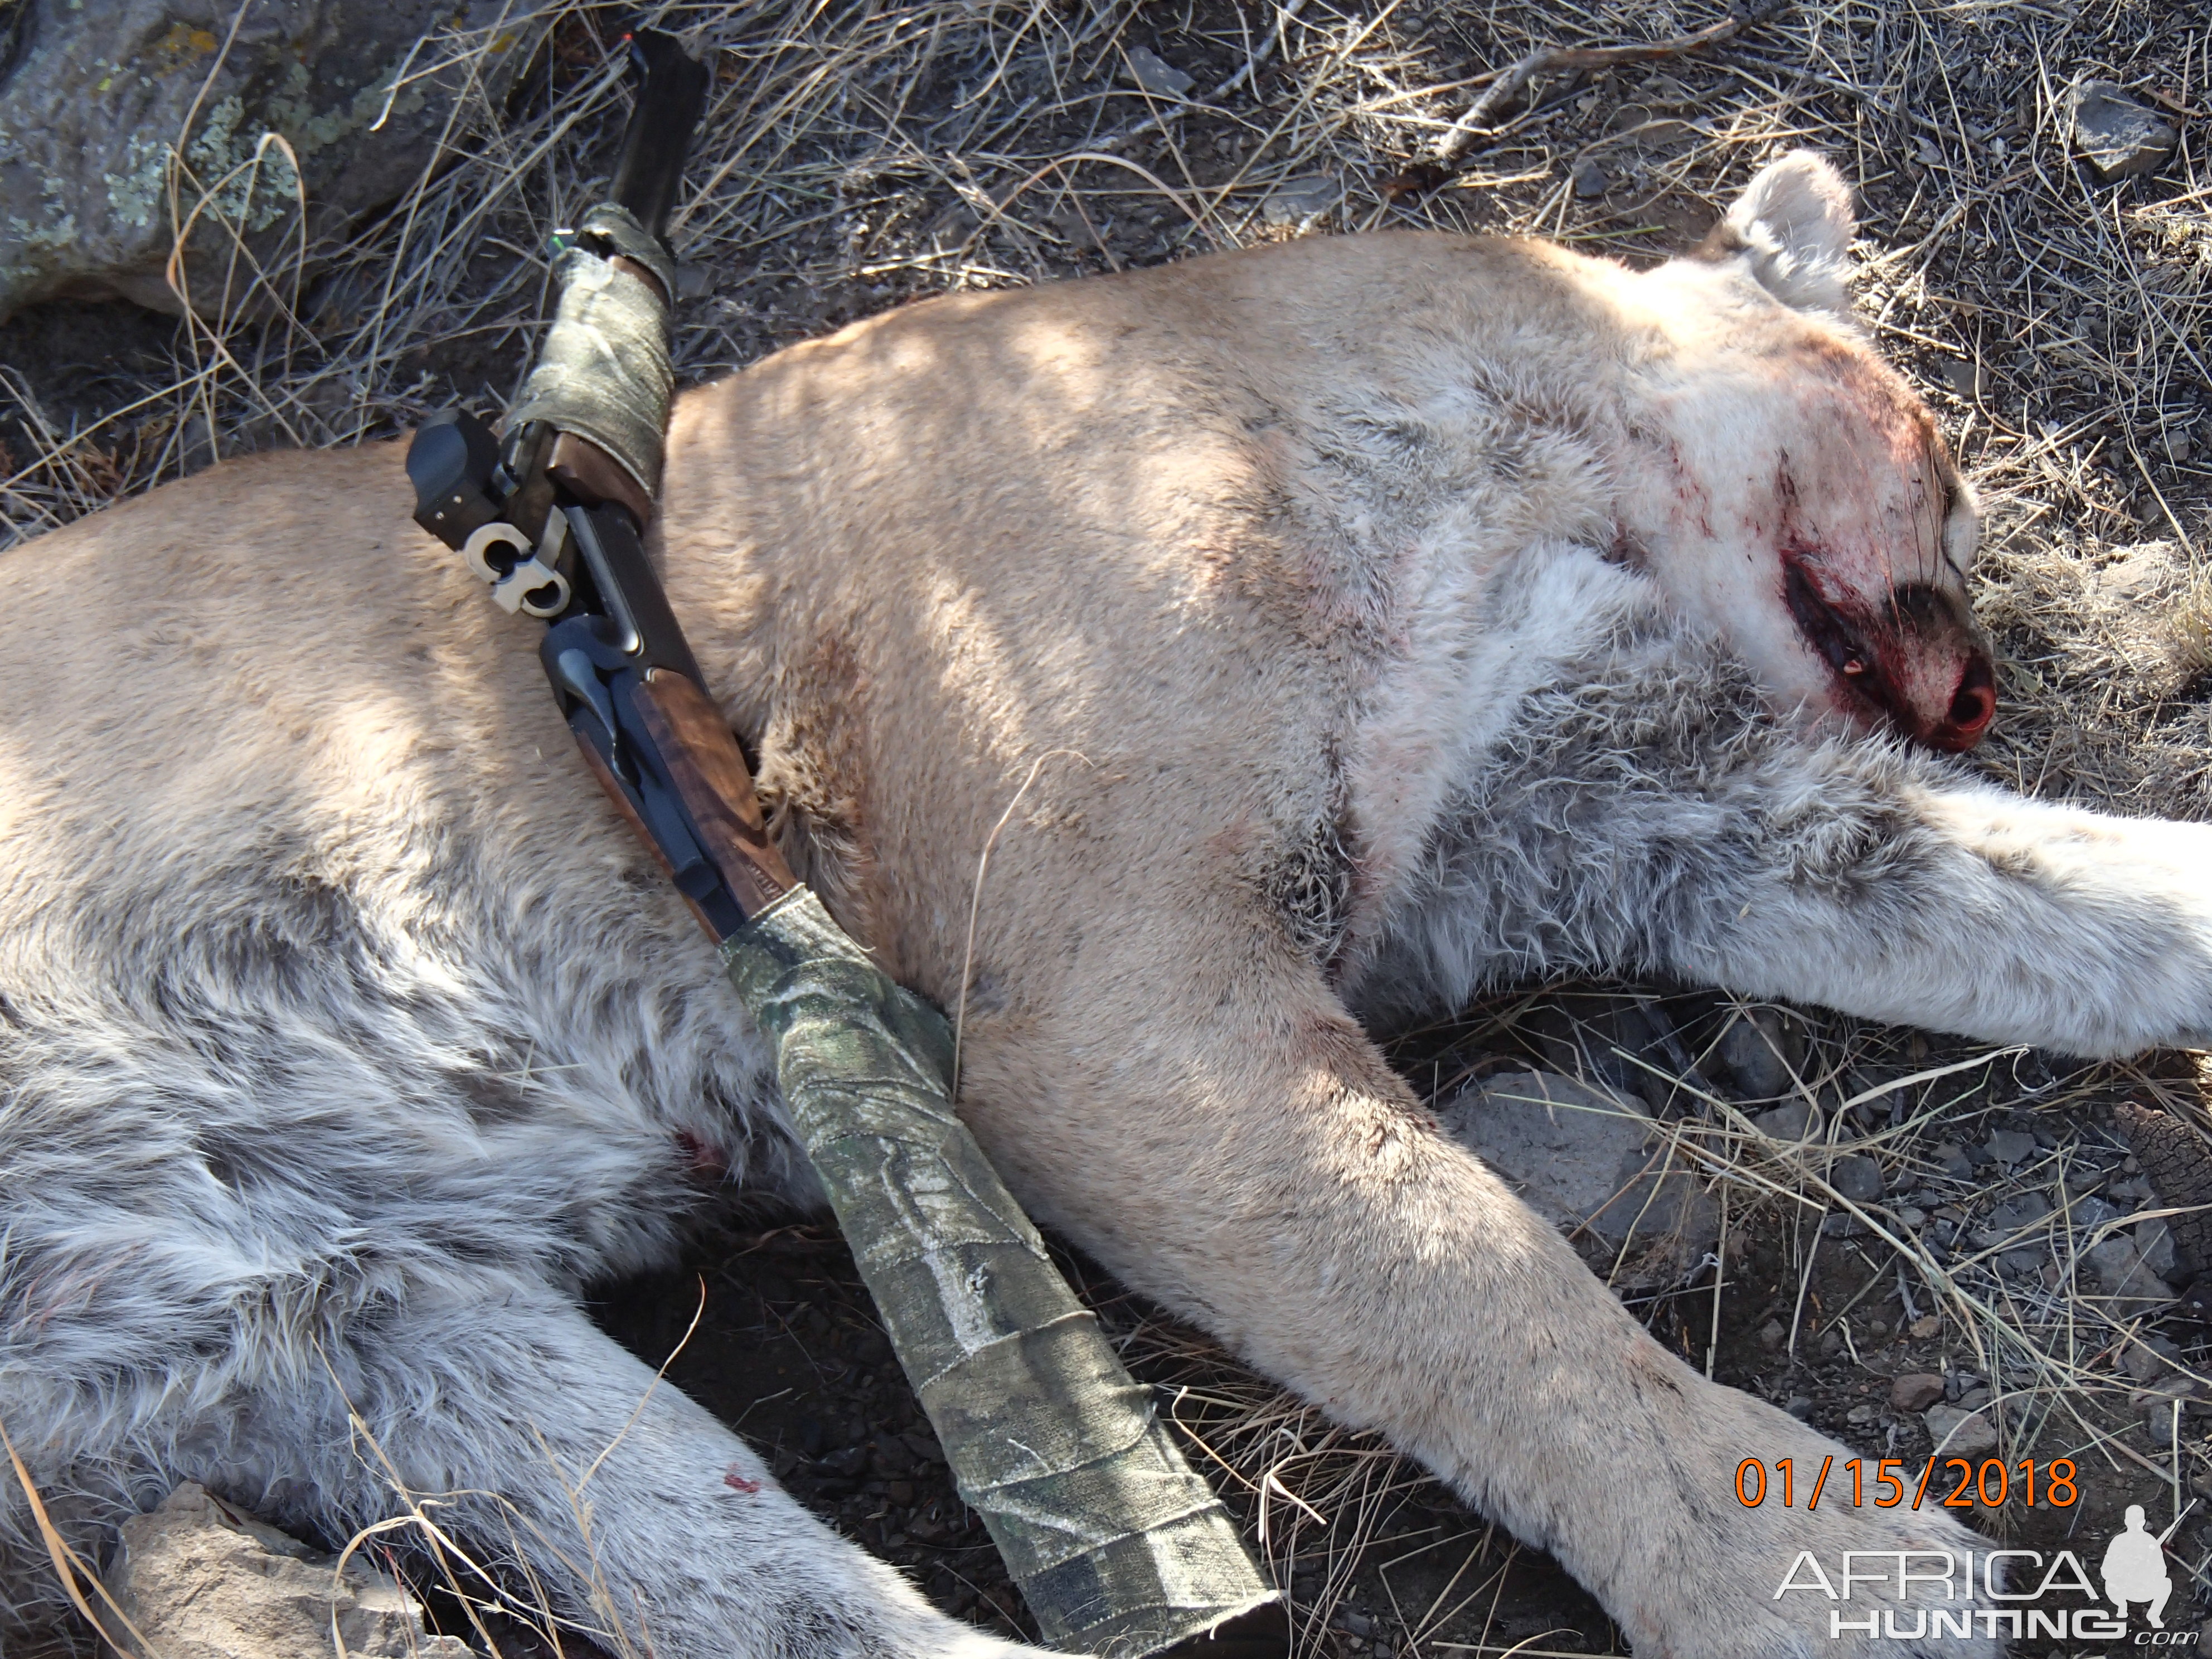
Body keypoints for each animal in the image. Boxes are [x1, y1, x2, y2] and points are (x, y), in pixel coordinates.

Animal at [0, 149, 2194, 1655]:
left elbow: (2050, 895)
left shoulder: (1620, 814)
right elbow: (1478, 1279)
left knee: (748, 1581)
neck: (1501, 451)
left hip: (348, 1317)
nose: (1974, 679)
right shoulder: (1121, 997)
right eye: (1942, 480)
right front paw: (1788, 1568)